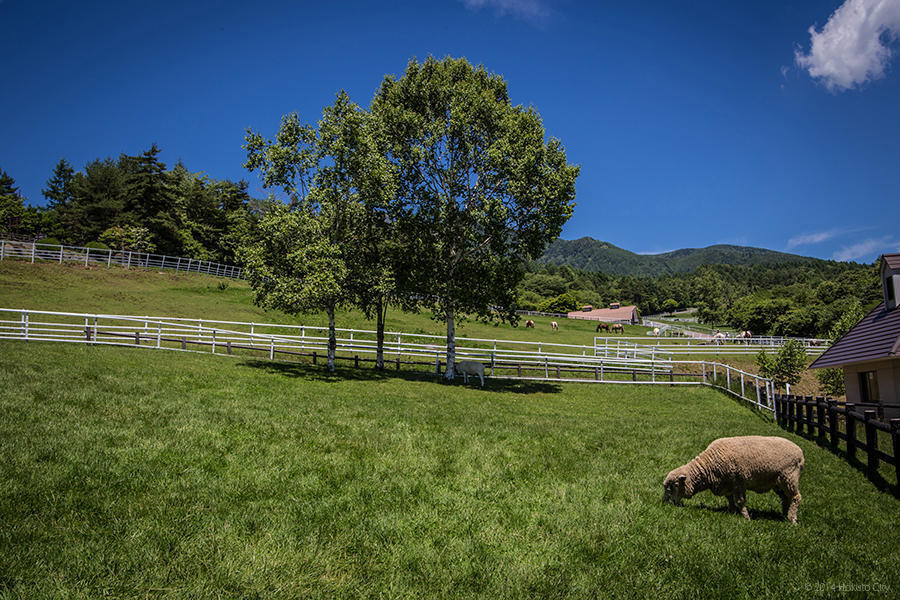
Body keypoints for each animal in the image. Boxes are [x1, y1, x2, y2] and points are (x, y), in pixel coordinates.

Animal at [664, 434, 804, 524]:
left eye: (673, 485)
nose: (666, 503)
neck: (709, 466)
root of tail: (800, 453)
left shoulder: (738, 483)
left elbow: (740, 501)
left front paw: (746, 517)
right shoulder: (727, 484)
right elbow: (730, 499)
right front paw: (732, 512)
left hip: (789, 477)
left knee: (796, 497)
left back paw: (792, 519)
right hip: (778, 482)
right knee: (785, 498)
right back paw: (785, 515)